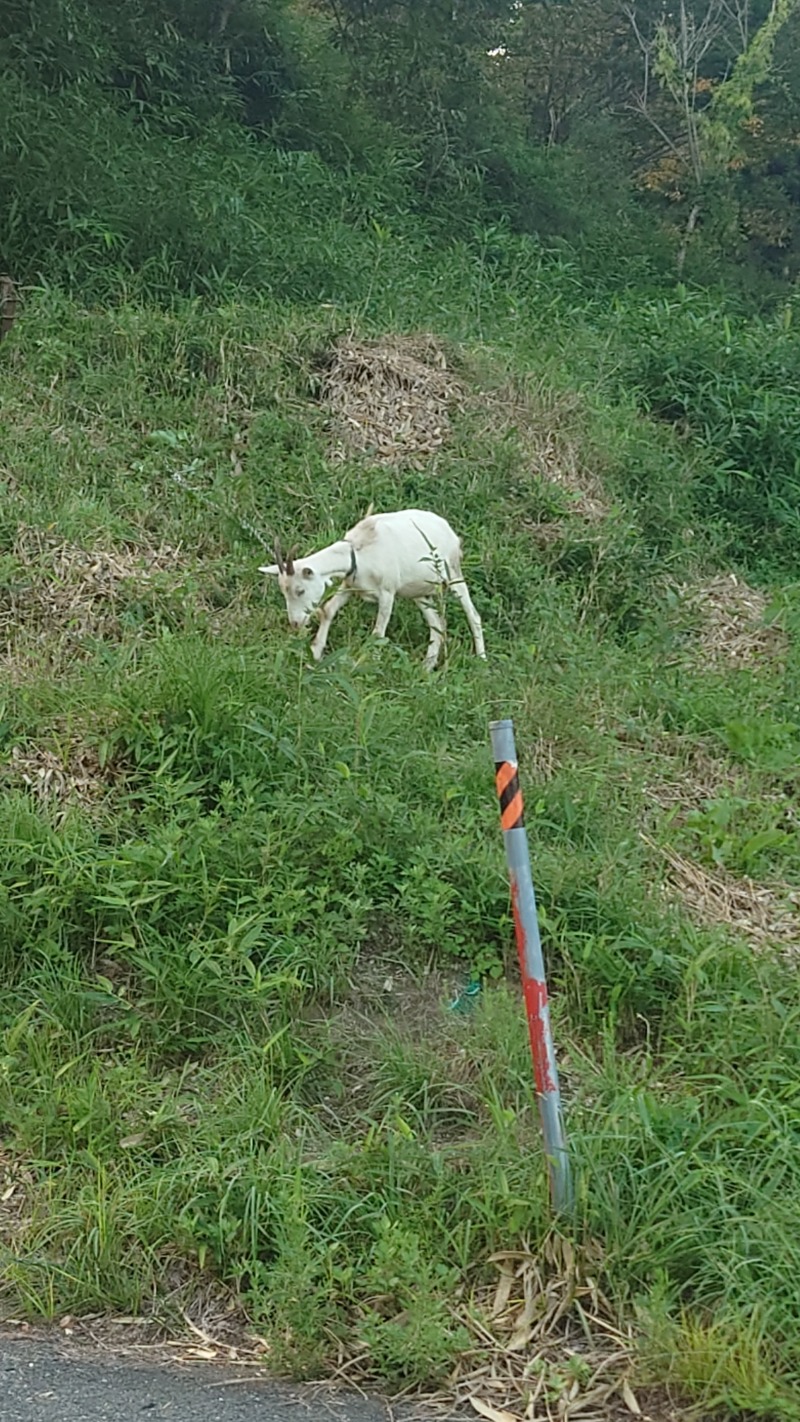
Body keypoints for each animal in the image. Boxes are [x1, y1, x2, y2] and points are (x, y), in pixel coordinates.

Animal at [262, 509, 485, 668]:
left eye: (300, 590)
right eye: (284, 592)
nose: (295, 623)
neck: (358, 551)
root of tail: (449, 530)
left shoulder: (387, 592)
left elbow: (378, 633)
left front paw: (370, 662)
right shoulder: (350, 585)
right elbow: (328, 610)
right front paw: (316, 652)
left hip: (453, 572)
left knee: (473, 614)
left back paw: (481, 660)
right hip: (419, 592)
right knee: (437, 623)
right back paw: (426, 668)